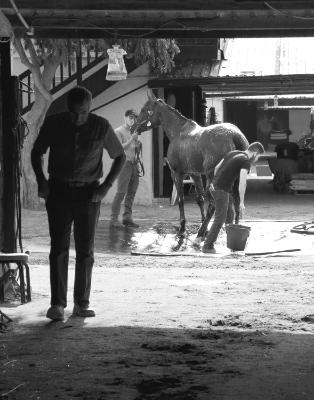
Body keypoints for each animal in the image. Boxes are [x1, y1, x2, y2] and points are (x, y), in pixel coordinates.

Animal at [136, 93, 249, 241]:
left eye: (144, 109)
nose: (134, 128)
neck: (178, 132)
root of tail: (234, 135)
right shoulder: (195, 174)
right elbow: (200, 199)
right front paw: (203, 226)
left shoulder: (177, 174)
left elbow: (181, 200)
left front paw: (182, 229)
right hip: (234, 178)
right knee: (235, 203)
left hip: (213, 178)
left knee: (214, 204)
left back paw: (201, 232)